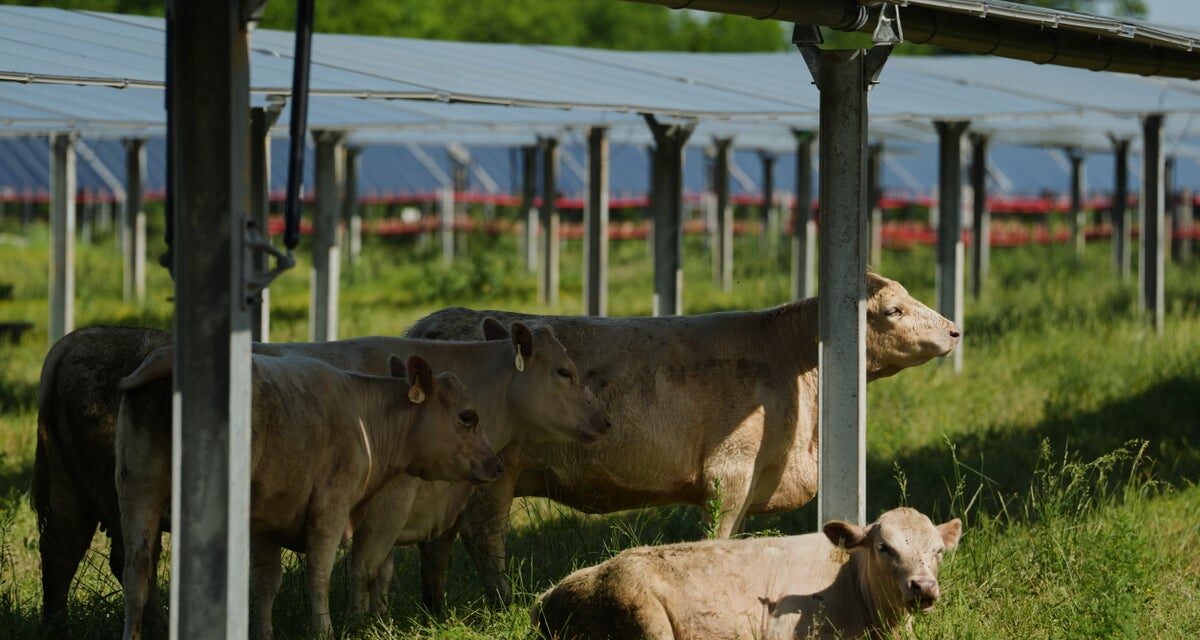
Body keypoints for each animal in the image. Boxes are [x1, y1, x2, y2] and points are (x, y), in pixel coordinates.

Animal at [115, 347, 501, 640]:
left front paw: (264, 632)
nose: (495, 465)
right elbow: (323, 573)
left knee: (137, 571)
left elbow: (266, 582)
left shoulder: (264, 522)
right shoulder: (331, 508)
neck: (364, 417)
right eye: (468, 417)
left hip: (138, 490)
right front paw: (330, 630)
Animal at [407, 272, 960, 609]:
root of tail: (431, 324)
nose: (955, 330)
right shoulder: (729, 470)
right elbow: (718, 537)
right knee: (482, 534)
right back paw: (504, 602)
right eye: (893, 309)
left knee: (439, 538)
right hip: (493, 473)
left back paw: (436, 608)